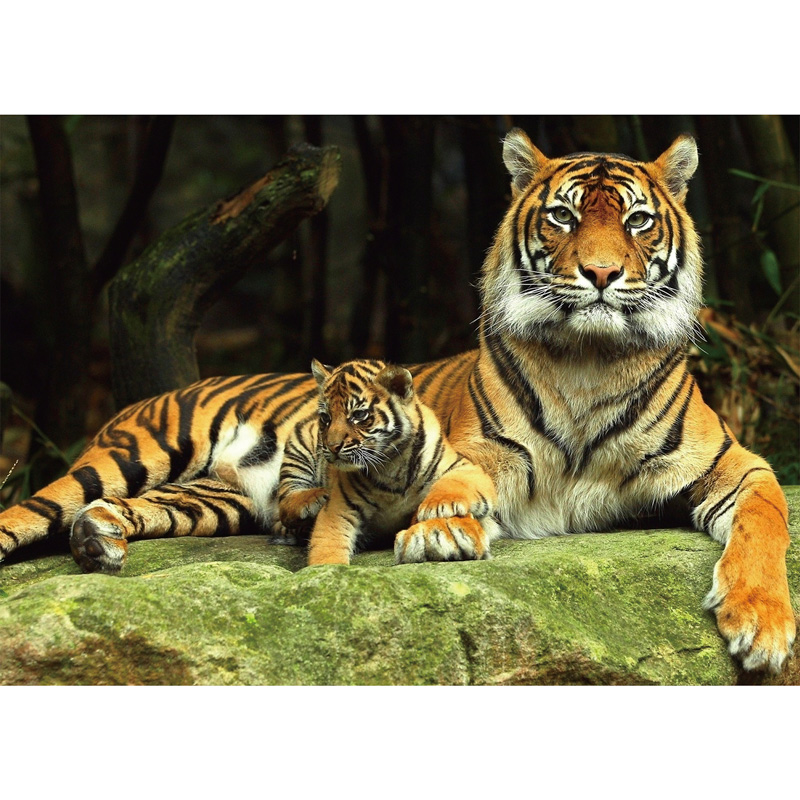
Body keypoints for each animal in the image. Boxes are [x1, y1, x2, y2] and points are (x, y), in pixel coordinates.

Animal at [275, 358, 497, 566]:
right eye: (326, 418)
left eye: (358, 414)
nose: (332, 446)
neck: (391, 464)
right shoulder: (340, 509)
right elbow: (328, 546)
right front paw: (328, 571)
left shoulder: (466, 467)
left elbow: (454, 483)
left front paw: (437, 507)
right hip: (299, 447)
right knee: (285, 501)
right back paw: (316, 497)